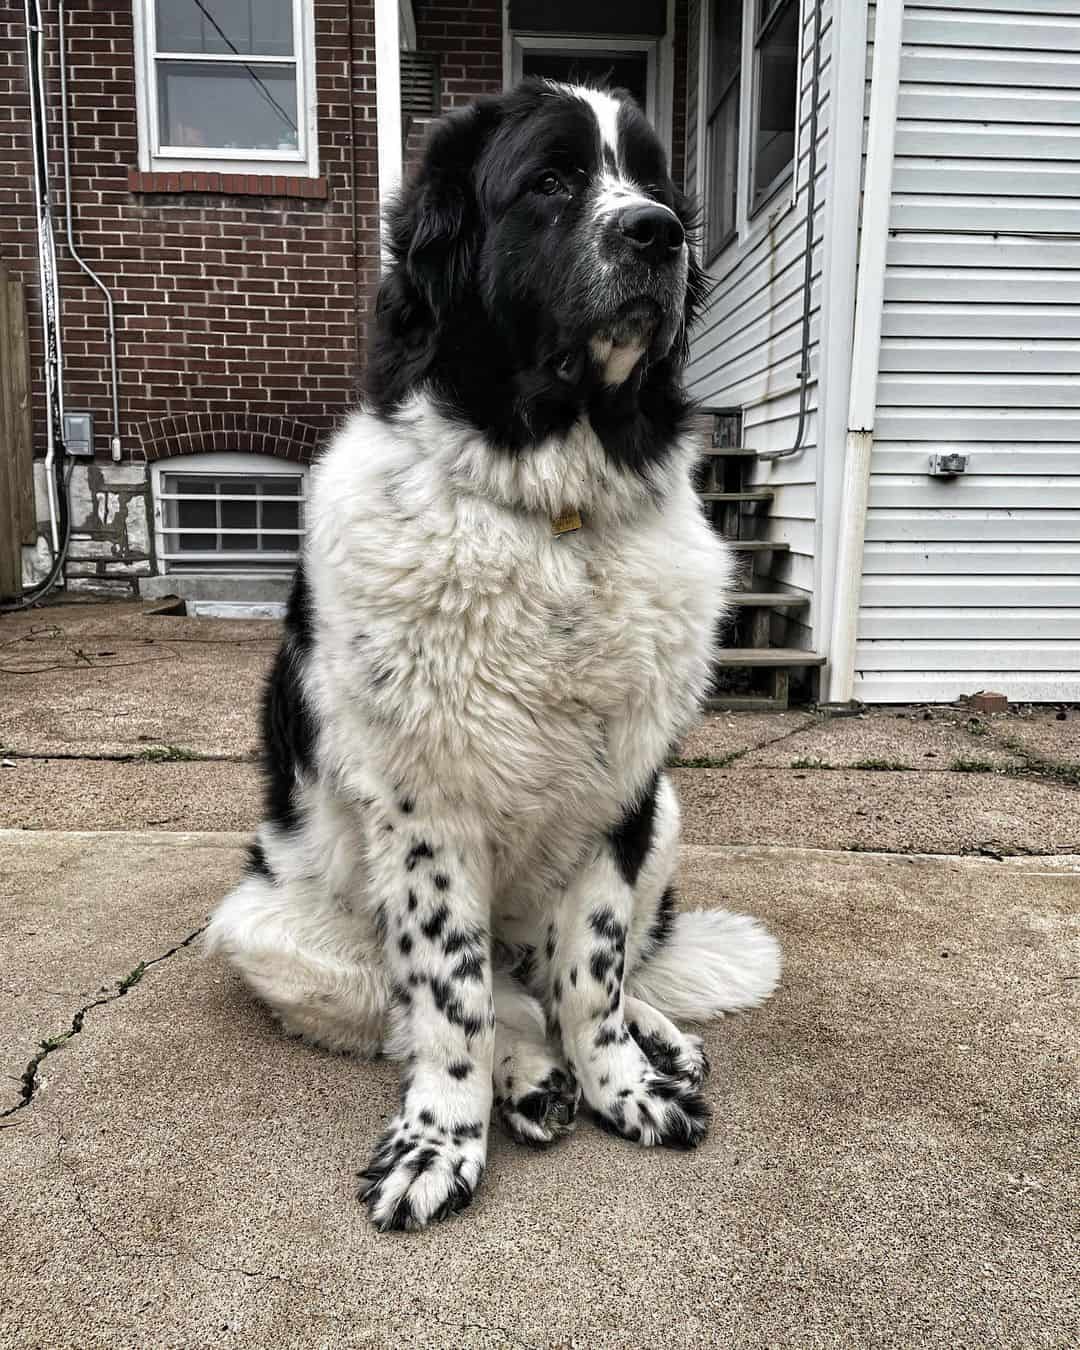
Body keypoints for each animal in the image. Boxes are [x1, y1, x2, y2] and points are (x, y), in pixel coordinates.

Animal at [206, 78, 783, 1231]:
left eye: (657, 185)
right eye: (551, 181)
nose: (661, 234)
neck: (552, 511)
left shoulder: (623, 796)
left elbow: (595, 971)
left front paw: (625, 1081)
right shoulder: (426, 814)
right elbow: (451, 997)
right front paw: (442, 1140)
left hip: (668, 816)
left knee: (577, 974)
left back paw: (652, 1040)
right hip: (267, 920)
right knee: (472, 999)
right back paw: (526, 1082)